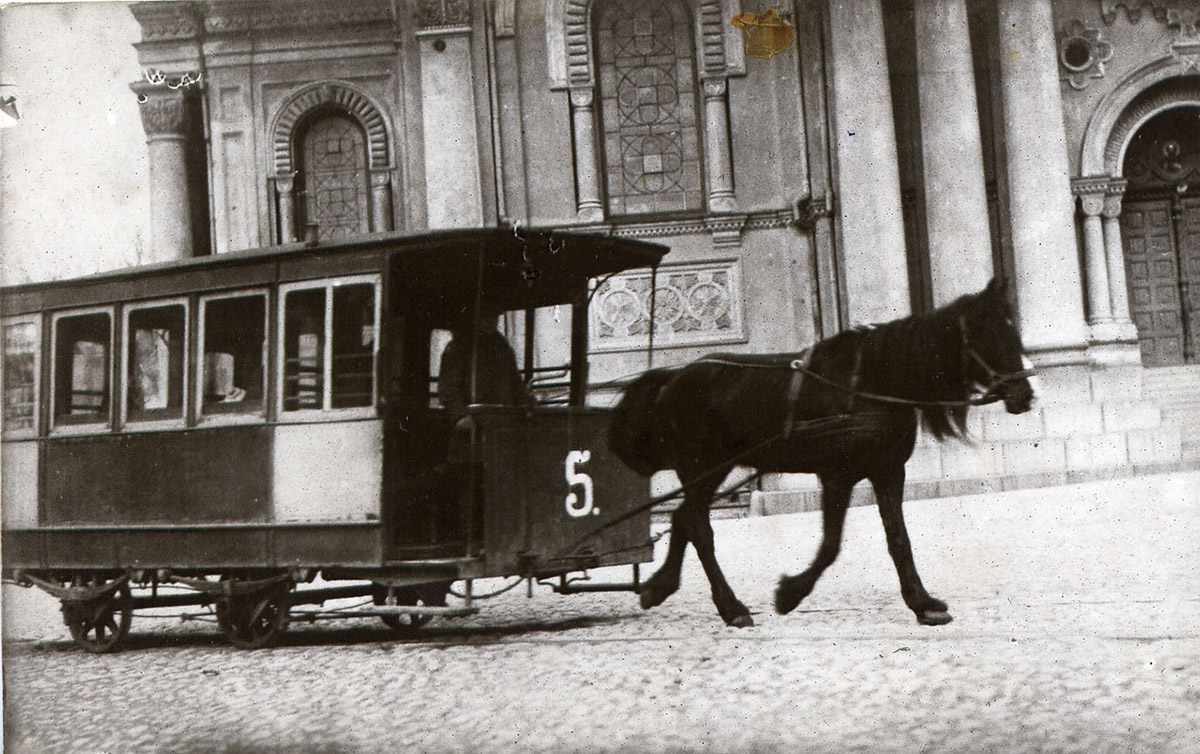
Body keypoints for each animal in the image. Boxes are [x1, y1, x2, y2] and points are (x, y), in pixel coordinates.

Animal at [609, 279, 1032, 629]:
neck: (870, 383)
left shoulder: (888, 471)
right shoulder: (837, 476)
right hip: (704, 467)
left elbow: (899, 540)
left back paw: (660, 587)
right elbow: (830, 545)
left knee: (683, 518)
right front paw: (789, 594)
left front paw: (923, 603)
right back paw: (732, 608)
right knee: (699, 528)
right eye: (993, 337)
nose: (1026, 395)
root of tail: (673, 377)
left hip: (709, 471)